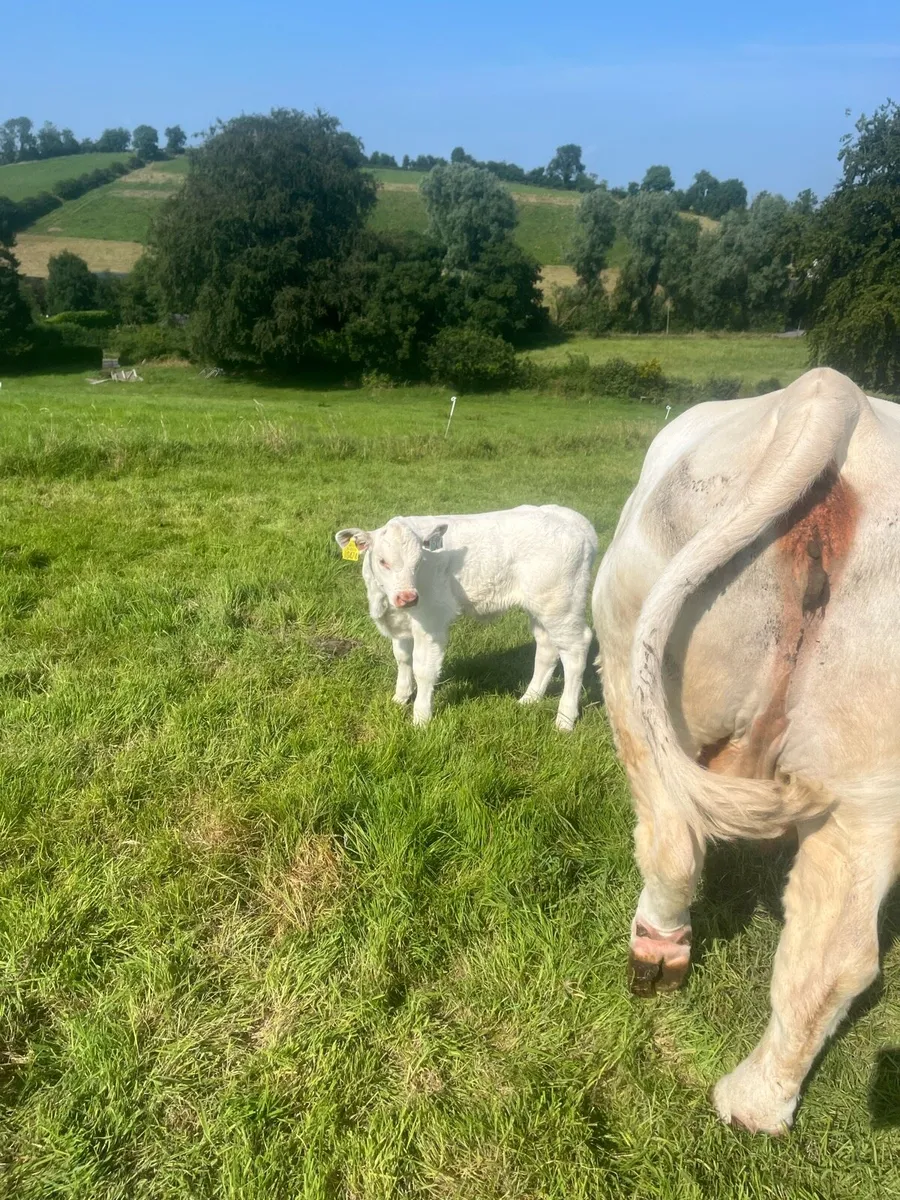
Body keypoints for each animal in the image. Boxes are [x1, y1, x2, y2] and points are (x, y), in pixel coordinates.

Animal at [335, 505, 598, 730]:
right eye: (383, 561)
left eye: (419, 562)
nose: (408, 597)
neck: (385, 602)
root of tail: (572, 519)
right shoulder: (399, 623)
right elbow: (402, 659)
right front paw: (400, 698)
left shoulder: (431, 621)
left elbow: (423, 669)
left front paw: (420, 719)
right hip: (542, 606)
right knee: (546, 648)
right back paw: (528, 700)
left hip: (562, 604)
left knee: (575, 650)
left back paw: (564, 720)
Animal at [592, 367, 900, 1134]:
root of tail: (835, 393)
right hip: (868, 776)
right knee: (837, 952)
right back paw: (757, 1104)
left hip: (629, 666)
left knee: (670, 846)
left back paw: (655, 954)